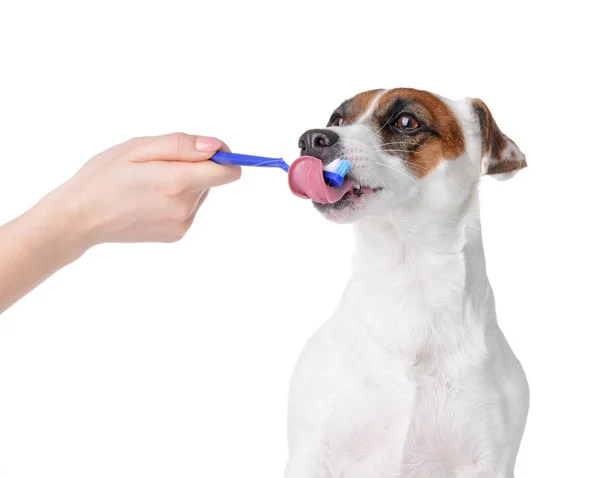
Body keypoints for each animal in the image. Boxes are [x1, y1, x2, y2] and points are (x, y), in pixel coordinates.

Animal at [286, 88, 528, 476]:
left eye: (405, 121)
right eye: (336, 120)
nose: (311, 139)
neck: (407, 278)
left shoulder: (489, 460)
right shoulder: (311, 454)